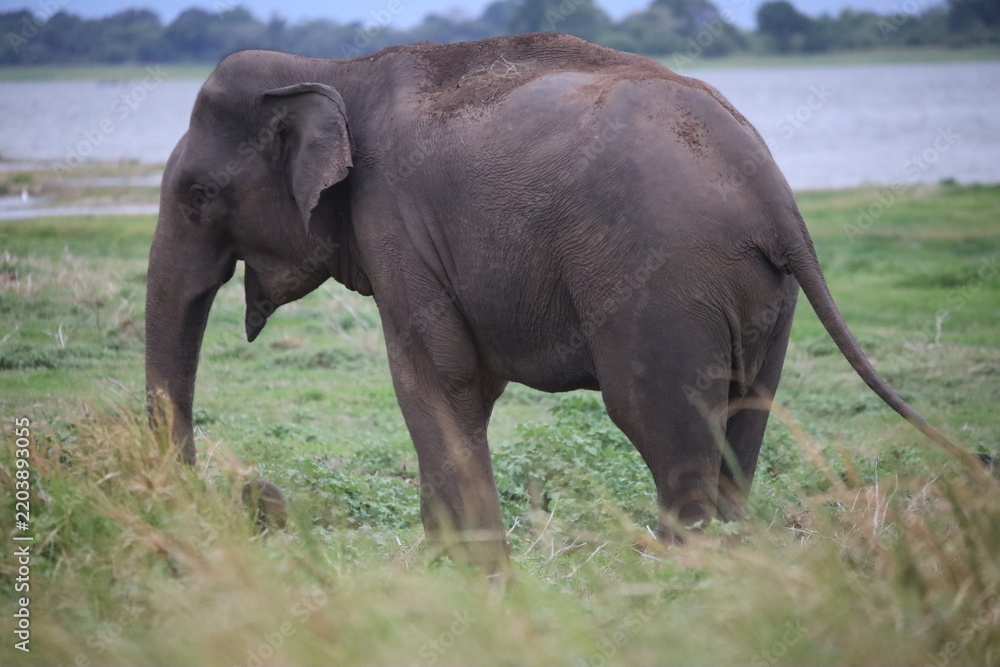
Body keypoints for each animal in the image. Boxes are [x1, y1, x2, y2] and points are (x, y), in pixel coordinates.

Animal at [146, 32, 966, 574]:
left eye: (198, 196)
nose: (254, 496)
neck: (334, 69)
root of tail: (776, 197)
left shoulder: (397, 224)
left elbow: (433, 378)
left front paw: (476, 581)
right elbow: (466, 389)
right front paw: (447, 573)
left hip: (661, 282)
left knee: (662, 424)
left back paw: (674, 579)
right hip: (767, 297)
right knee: (744, 421)